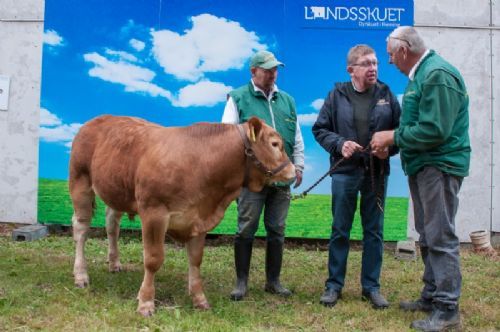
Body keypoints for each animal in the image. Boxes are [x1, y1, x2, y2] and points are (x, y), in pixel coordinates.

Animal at [70, 115, 296, 316]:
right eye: (275, 144)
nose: (294, 171)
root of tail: (98, 119)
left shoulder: (199, 219)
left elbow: (195, 259)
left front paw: (199, 299)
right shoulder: (154, 213)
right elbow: (153, 259)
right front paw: (146, 302)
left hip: (116, 190)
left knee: (112, 224)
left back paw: (114, 263)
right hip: (80, 182)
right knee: (81, 229)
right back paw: (81, 275)